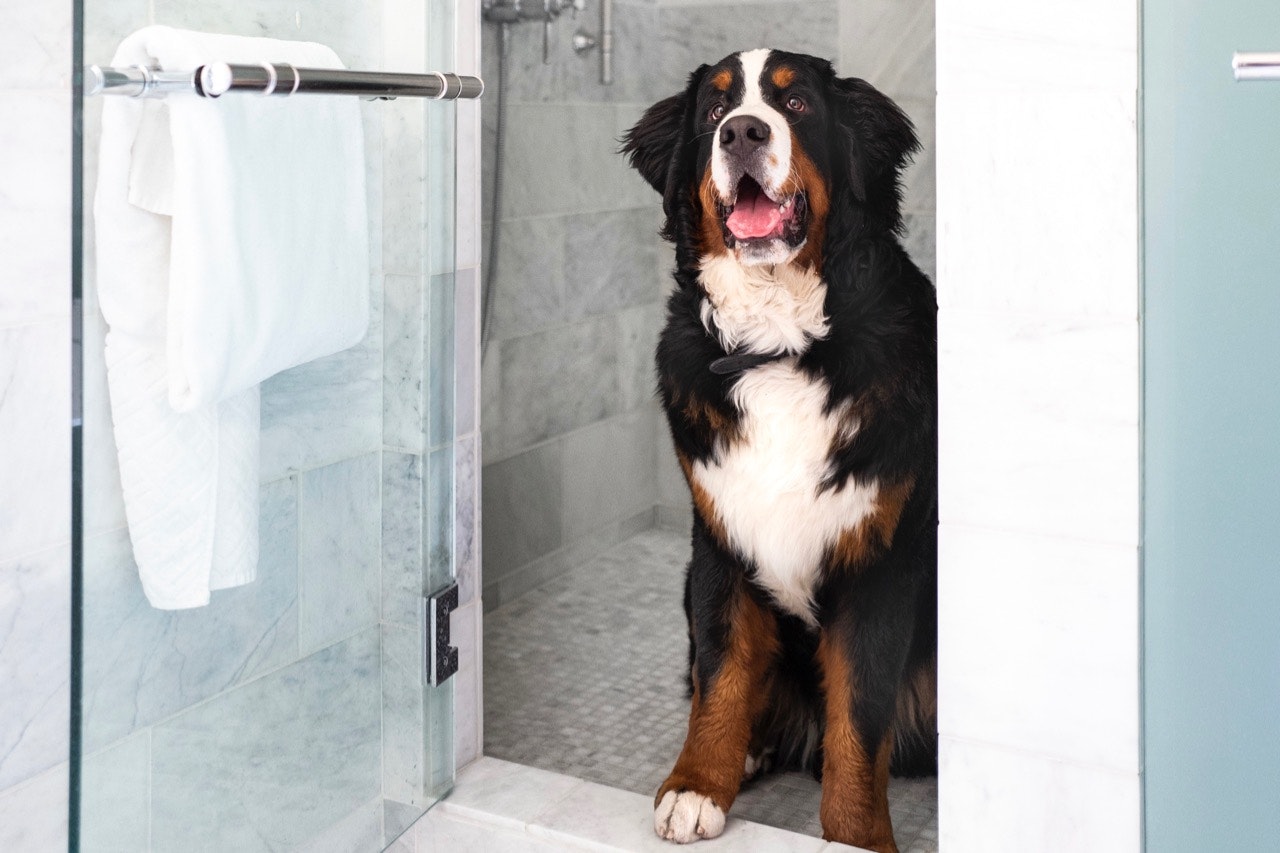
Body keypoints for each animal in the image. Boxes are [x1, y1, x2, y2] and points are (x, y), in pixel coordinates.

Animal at [622, 48, 936, 850]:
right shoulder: (720, 540)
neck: (779, 346)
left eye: (795, 106)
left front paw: (855, 834)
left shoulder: (879, 560)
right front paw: (698, 783)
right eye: (713, 110)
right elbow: (721, 673)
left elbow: (859, 719)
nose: (741, 132)